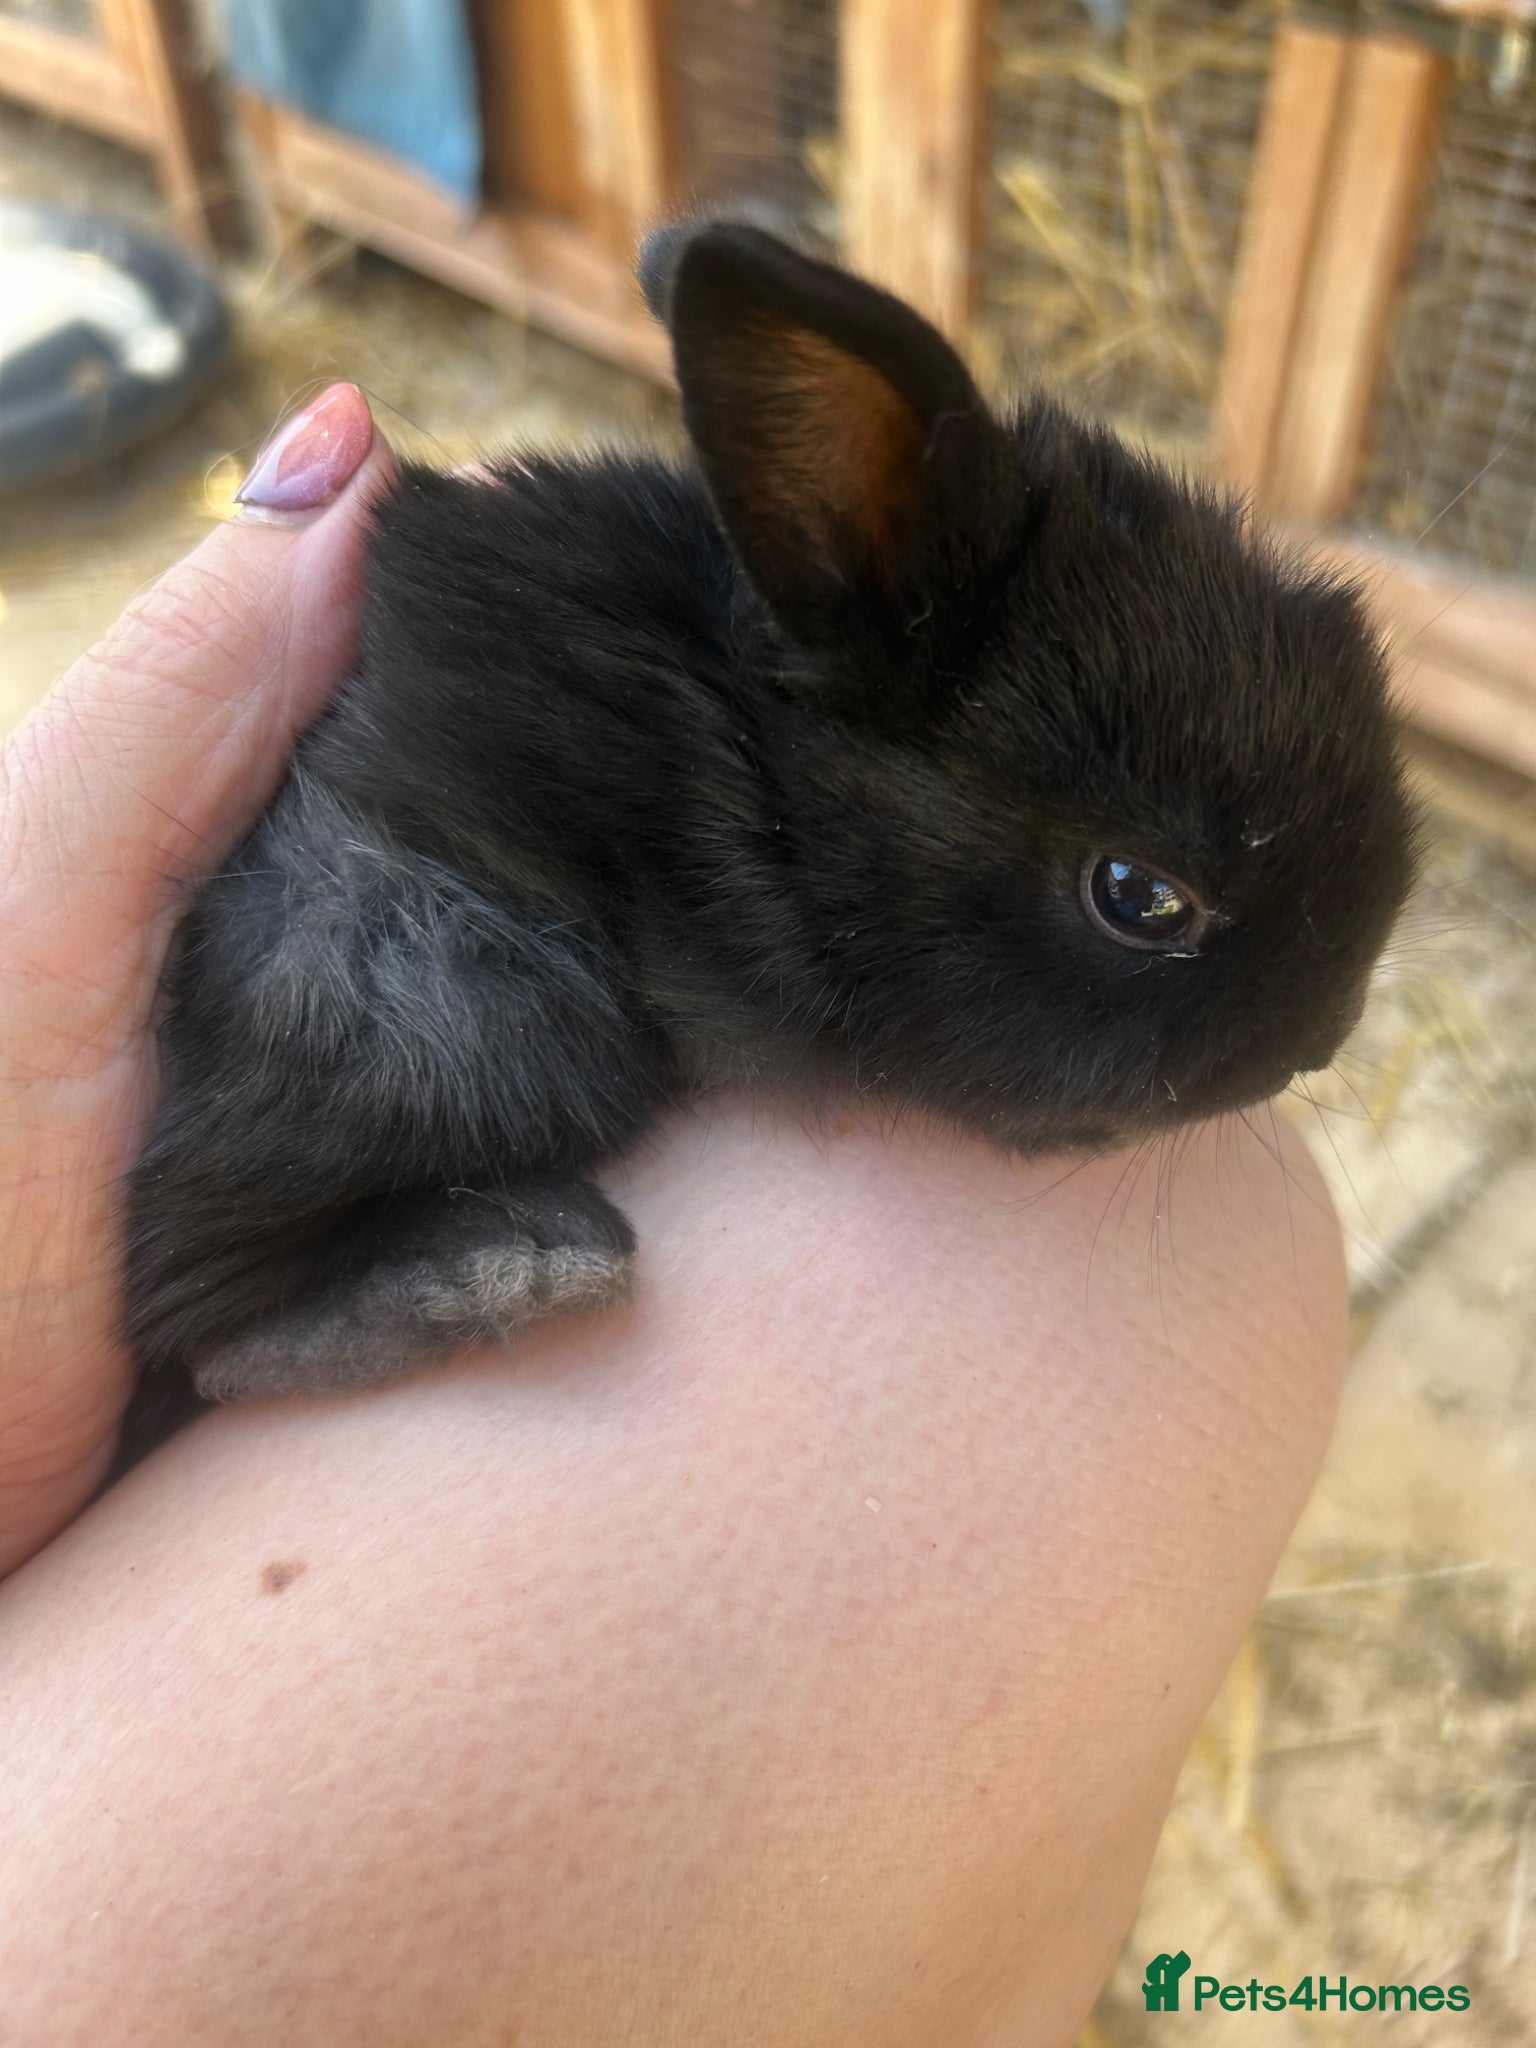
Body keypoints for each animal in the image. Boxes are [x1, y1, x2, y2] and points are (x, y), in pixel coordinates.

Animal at [122, 220, 1417, 1404]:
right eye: (1140, 897)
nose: (1328, 1033)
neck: (775, 775)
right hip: (459, 1003)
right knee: (205, 1312)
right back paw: (513, 1269)